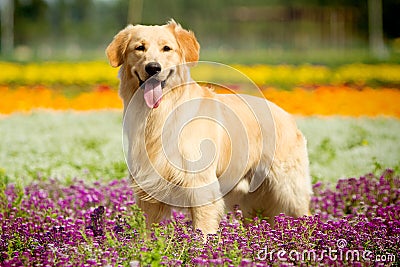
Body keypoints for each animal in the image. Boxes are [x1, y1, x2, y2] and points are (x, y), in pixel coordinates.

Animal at [106, 20, 312, 237]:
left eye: (166, 48)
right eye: (139, 48)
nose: (153, 67)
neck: (160, 113)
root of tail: (288, 115)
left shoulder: (200, 185)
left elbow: (203, 229)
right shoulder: (149, 190)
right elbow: (149, 232)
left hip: (290, 189)